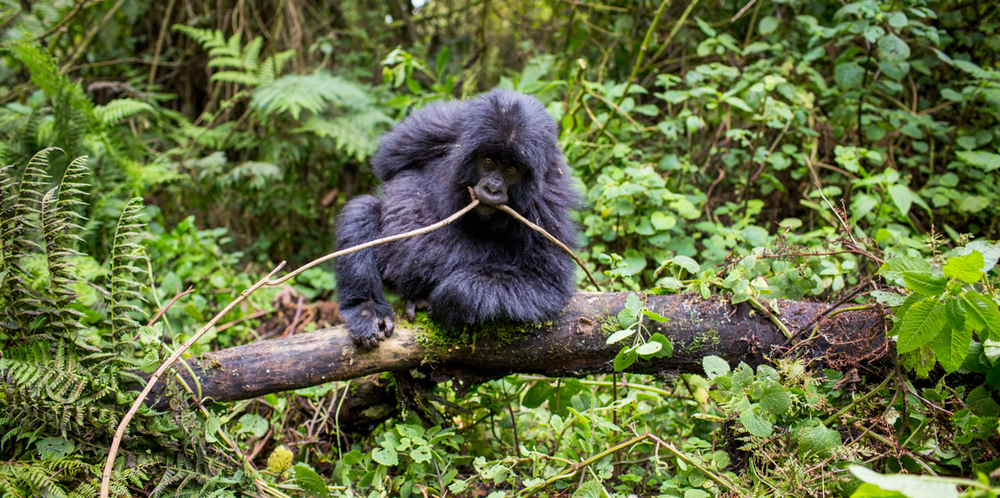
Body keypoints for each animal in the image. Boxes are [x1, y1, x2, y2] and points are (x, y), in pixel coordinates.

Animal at [336, 89, 580, 348]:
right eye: (488, 160)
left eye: (513, 169)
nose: (493, 188)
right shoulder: (441, 126)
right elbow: (389, 163)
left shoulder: (547, 206)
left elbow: (544, 282)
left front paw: (451, 297)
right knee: (362, 211)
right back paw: (366, 309)